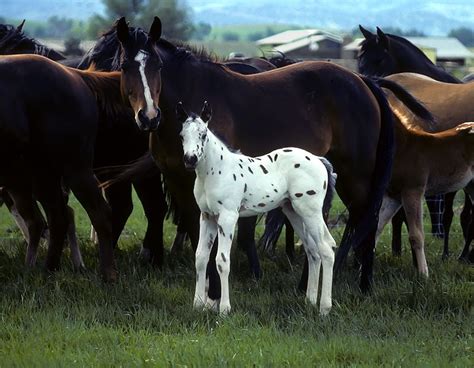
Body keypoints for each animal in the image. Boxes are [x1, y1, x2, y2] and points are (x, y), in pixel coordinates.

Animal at [114, 17, 434, 294]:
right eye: (125, 66)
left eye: (157, 65)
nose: (148, 116)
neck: (193, 97)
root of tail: (364, 81)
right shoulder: (180, 183)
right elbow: (197, 239)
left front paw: (215, 293)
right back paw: (310, 285)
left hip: (357, 172)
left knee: (365, 215)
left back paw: (363, 285)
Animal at [178, 101, 336, 316]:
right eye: (182, 135)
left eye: (203, 134)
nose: (190, 159)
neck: (216, 171)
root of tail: (319, 160)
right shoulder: (207, 217)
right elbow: (201, 257)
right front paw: (198, 305)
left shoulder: (227, 217)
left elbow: (222, 261)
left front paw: (225, 309)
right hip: (294, 212)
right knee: (313, 251)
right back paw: (309, 301)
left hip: (310, 212)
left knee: (327, 249)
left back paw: (324, 309)